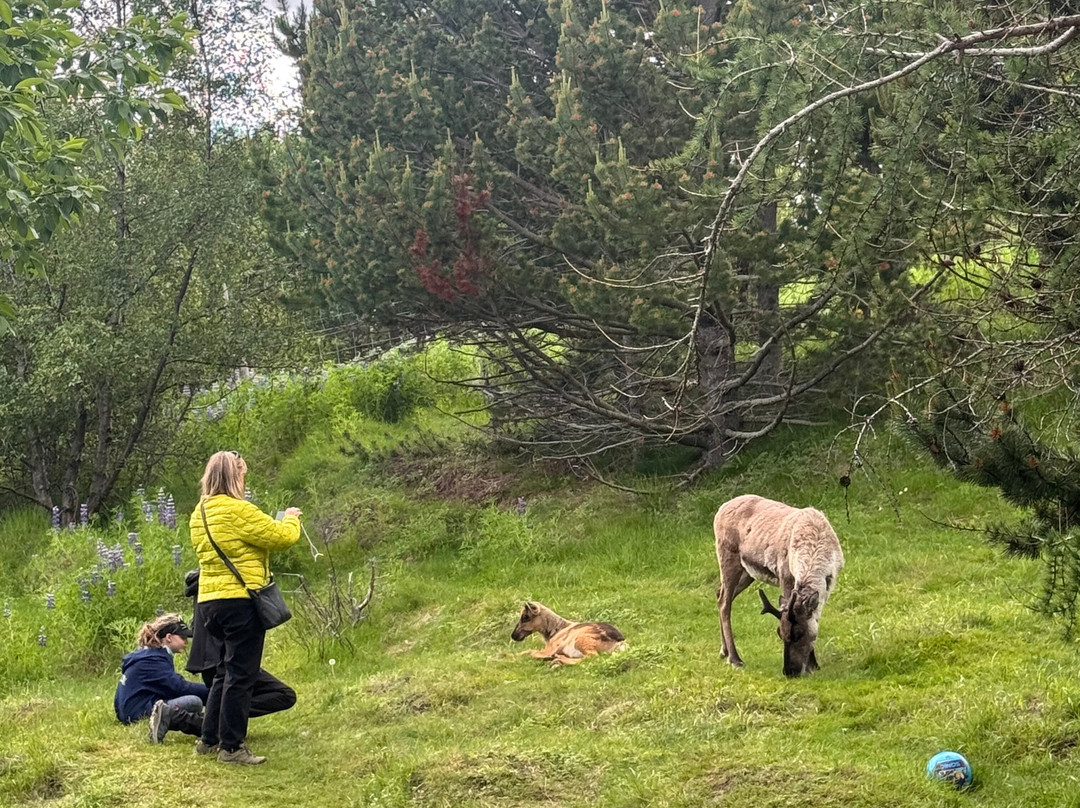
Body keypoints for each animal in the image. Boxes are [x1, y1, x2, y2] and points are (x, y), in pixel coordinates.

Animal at [713, 494, 844, 677]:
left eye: (799, 634)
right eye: (780, 633)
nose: (789, 671)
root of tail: (720, 509)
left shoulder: (831, 581)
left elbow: (816, 617)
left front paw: (815, 664)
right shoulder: (785, 575)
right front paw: (811, 665)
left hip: (747, 572)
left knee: (720, 594)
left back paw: (723, 651)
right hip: (728, 558)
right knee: (725, 603)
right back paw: (735, 659)